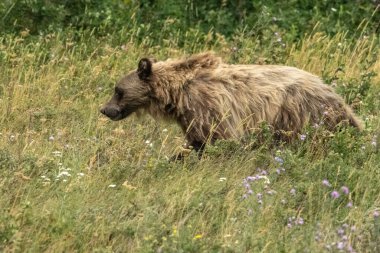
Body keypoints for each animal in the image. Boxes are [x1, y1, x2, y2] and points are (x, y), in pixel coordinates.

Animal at [100, 51, 362, 154]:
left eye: (118, 90)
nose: (105, 109)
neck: (177, 94)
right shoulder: (191, 116)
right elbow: (196, 142)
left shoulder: (208, 108)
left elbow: (217, 140)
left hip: (298, 114)